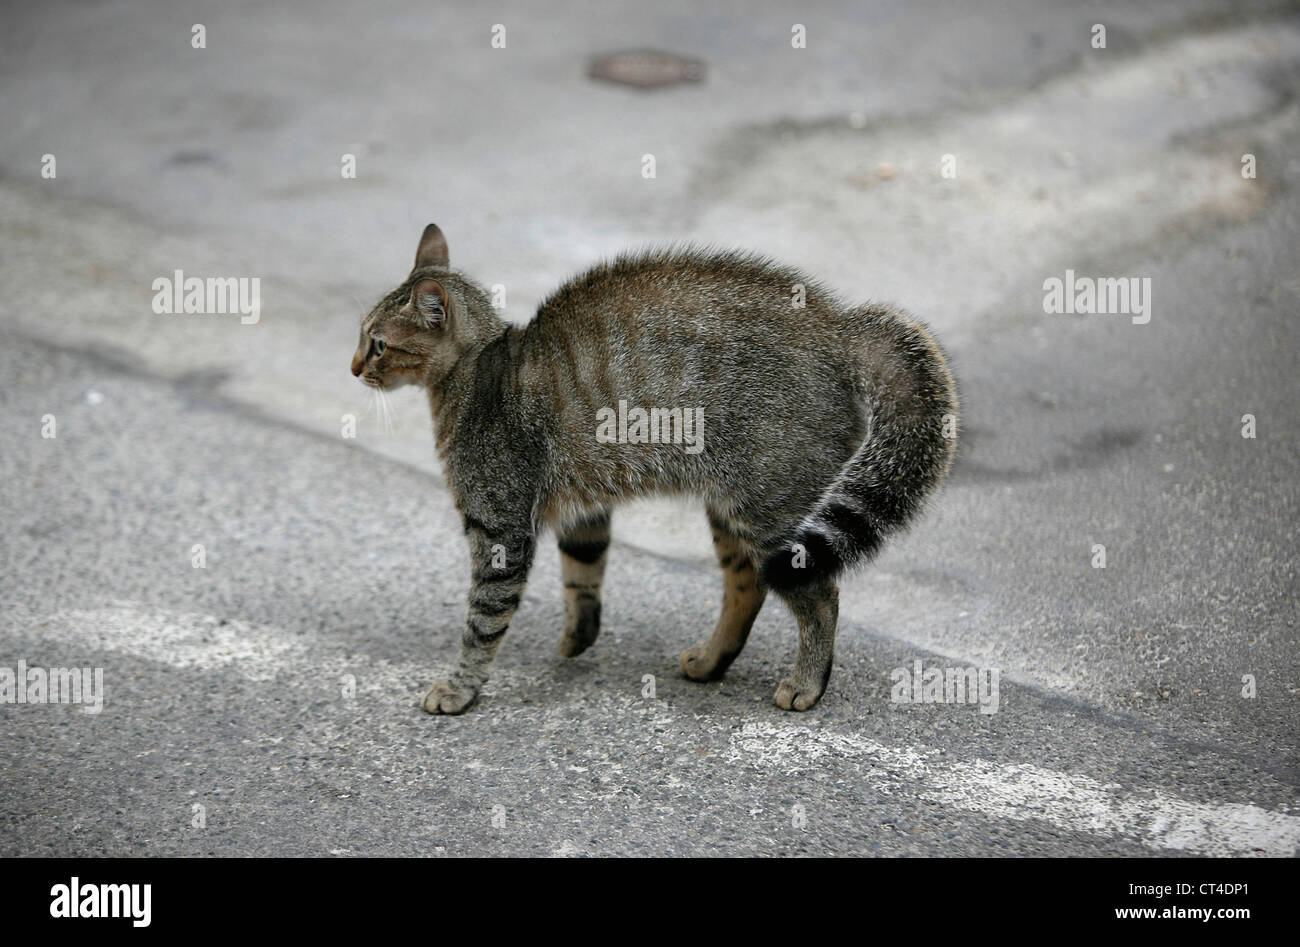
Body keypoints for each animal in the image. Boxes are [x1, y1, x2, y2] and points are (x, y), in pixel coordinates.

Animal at [351, 225, 961, 712]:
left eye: (377, 343)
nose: (353, 367)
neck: (476, 369)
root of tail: (838, 324)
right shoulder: (585, 507)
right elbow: (582, 574)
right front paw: (578, 635)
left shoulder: (499, 529)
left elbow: (482, 622)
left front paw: (459, 688)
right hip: (732, 509)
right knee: (747, 587)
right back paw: (712, 660)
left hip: (770, 511)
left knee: (820, 596)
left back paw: (807, 683)